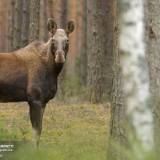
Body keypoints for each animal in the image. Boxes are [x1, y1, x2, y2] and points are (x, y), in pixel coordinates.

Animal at [0, 18, 75, 146]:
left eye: (67, 40)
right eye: (53, 40)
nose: (60, 57)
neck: (52, 71)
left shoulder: (43, 101)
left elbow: (39, 131)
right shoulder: (35, 99)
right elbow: (37, 130)